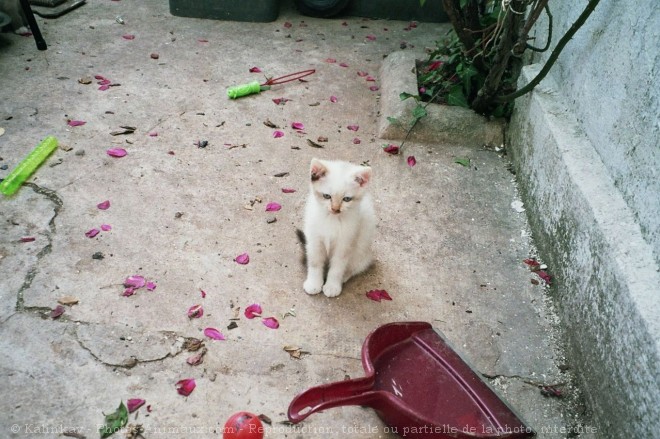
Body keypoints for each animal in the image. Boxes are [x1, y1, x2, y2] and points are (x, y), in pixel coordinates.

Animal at [300, 159, 374, 300]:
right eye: (327, 196)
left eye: (347, 199)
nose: (335, 209)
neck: (332, 220)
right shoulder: (314, 240)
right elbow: (315, 262)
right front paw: (313, 284)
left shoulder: (345, 243)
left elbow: (337, 267)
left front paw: (332, 286)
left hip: (362, 252)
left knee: (354, 267)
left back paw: (344, 276)